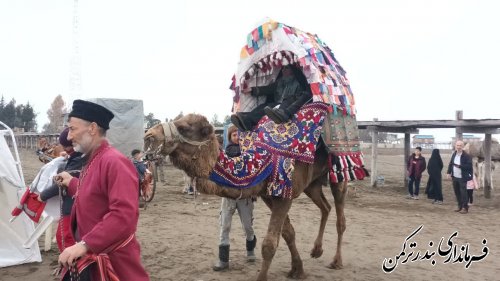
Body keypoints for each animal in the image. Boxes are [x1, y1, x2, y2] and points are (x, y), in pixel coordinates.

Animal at [143, 114, 350, 280]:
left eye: (184, 128)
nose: (148, 136)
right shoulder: (269, 195)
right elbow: (288, 233)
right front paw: (297, 270)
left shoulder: (285, 195)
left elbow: (269, 244)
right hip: (313, 184)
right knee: (325, 207)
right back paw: (316, 251)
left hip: (338, 175)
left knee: (340, 218)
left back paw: (337, 261)